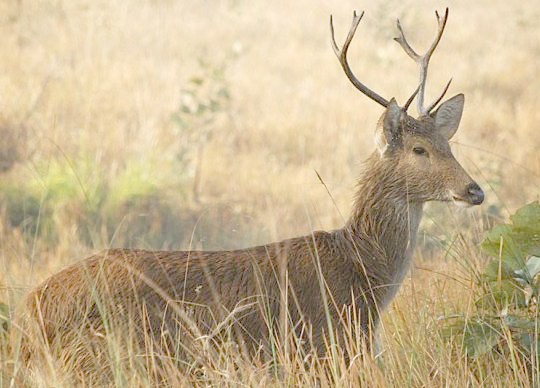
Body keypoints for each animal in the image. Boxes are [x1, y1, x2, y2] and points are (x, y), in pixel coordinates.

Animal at [13, 7, 486, 380]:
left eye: (448, 144)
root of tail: (28, 314)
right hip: (102, 357)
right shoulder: (322, 349)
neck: (361, 272)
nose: (474, 190)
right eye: (419, 149)